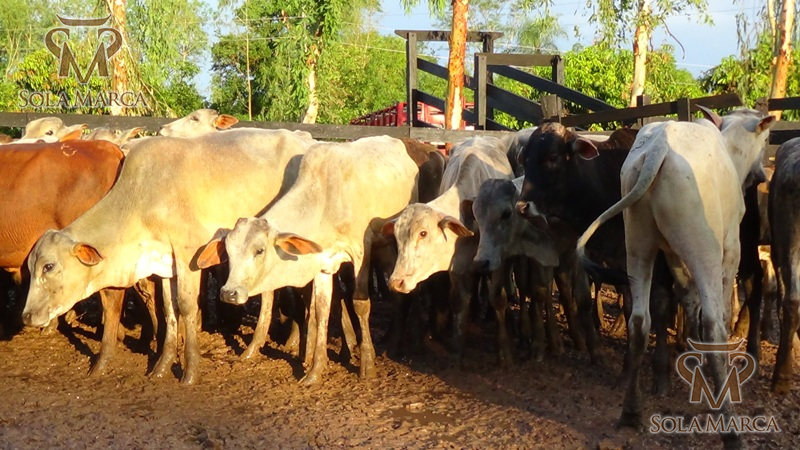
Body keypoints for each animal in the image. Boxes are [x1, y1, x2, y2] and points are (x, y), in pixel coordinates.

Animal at [22, 128, 316, 384]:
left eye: (49, 266)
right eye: (30, 268)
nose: (26, 316)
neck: (141, 199)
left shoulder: (189, 253)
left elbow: (186, 306)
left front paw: (191, 371)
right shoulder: (165, 262)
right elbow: (169, 308)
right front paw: (161, 366)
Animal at [196, 136, 419, 385]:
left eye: (259, 250)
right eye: (229, 251)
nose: (229, 293)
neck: (325, 201)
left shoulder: (361, 250)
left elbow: (360, 304)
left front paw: (367, 365)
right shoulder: (323, 263)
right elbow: (321, 310)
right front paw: (315, 370)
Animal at [383, 136, 517, 362]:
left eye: (423, 233)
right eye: (397, 237)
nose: (396, 282)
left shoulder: (496, 260)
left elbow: (498, 299)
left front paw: (505, 351)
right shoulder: (457, 268)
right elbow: (458, 301)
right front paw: (457, 350)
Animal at [576, 108, 774, 448]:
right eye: (765, 140)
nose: (762, 174)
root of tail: (659, 146)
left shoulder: (672, 256)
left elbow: (686, 298)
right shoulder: (730, 249)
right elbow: (719, 309)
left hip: (638, 241)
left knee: (639, 321)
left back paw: (631, 412)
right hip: (704, 246)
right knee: (713, 323)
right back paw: (731, 430)